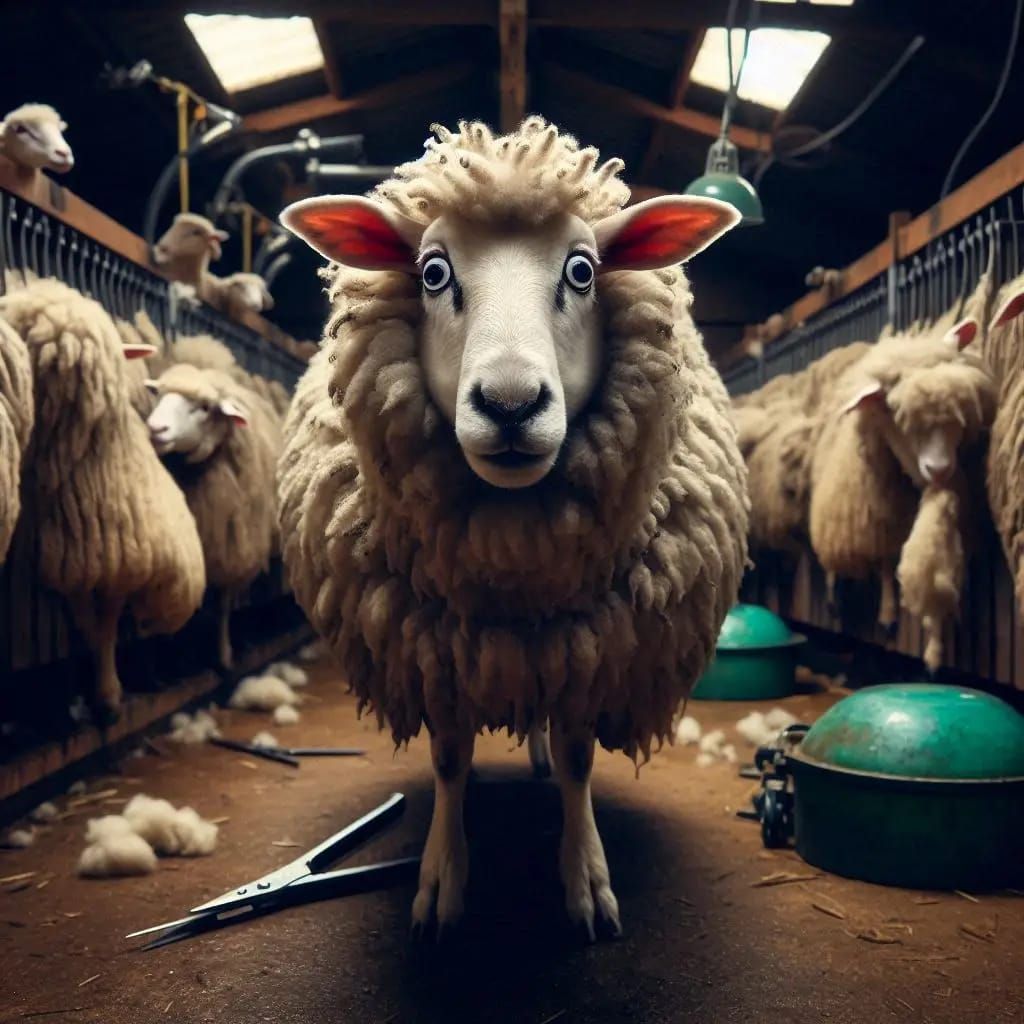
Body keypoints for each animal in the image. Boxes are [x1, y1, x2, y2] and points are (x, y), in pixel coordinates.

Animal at [0, 279, 206, 719]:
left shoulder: (123, 559)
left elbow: (107, 624)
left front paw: (109, 694)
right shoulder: (72, 562)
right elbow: (88, 624)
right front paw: (100, 688)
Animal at [145, 352, 282, 668]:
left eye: (206, 407)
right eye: (158, 394)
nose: (156, 429)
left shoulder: (231, 544)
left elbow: (223, 604)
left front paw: (224, 655)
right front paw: (175, 650)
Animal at [278, 117, 748, 938]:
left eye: (582, 271)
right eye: (433, 273)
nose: (509, 403)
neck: (510, 565)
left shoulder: (593, 653)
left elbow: (579, 756)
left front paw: (585, 879)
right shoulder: (436, 654)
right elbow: (448, 759)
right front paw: (442, 881)